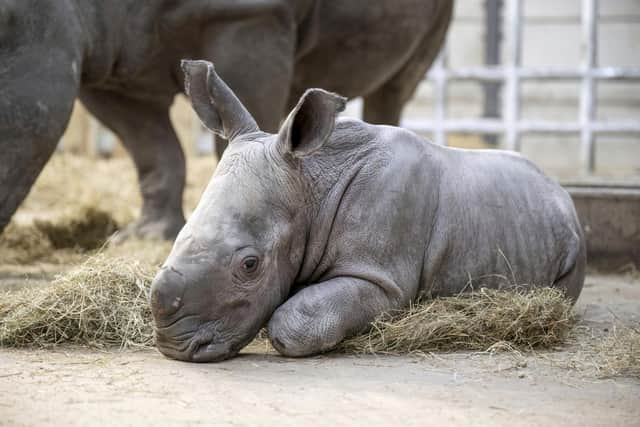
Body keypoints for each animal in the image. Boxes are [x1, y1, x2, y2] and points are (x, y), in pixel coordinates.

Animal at [149, 58, 584, 362]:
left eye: (250, 265)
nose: (173, 347)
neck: (311, 186)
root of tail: (561, 192)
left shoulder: (382, 279)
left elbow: (296, 319)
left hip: (572, 240)